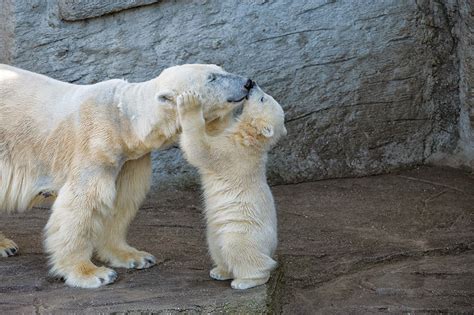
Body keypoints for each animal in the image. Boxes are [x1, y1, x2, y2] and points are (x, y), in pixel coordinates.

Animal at [0, 64, 254, 288]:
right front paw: (92, 273)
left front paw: (135, 256)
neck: (123, 120)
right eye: (212, 78)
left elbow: (121, 200)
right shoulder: (94, 146)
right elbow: (82, 204)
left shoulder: (130, 158)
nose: (248, 82)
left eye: (221, 69)